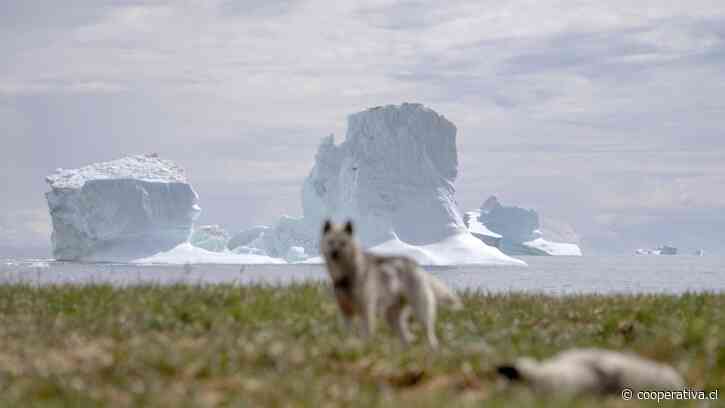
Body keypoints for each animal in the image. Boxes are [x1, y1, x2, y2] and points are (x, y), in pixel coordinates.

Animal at [320, 220, 460, 348]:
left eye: (343, 243)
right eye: (330, 242)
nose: (334, 253)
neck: (347, 275)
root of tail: (417, 267)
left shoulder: (366, 310)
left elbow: (366, 333)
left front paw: (366, 347)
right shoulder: (345, 311)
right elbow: (347, 333)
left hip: (421, 311)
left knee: (429, 335)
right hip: (392, 316)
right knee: (407, 338)